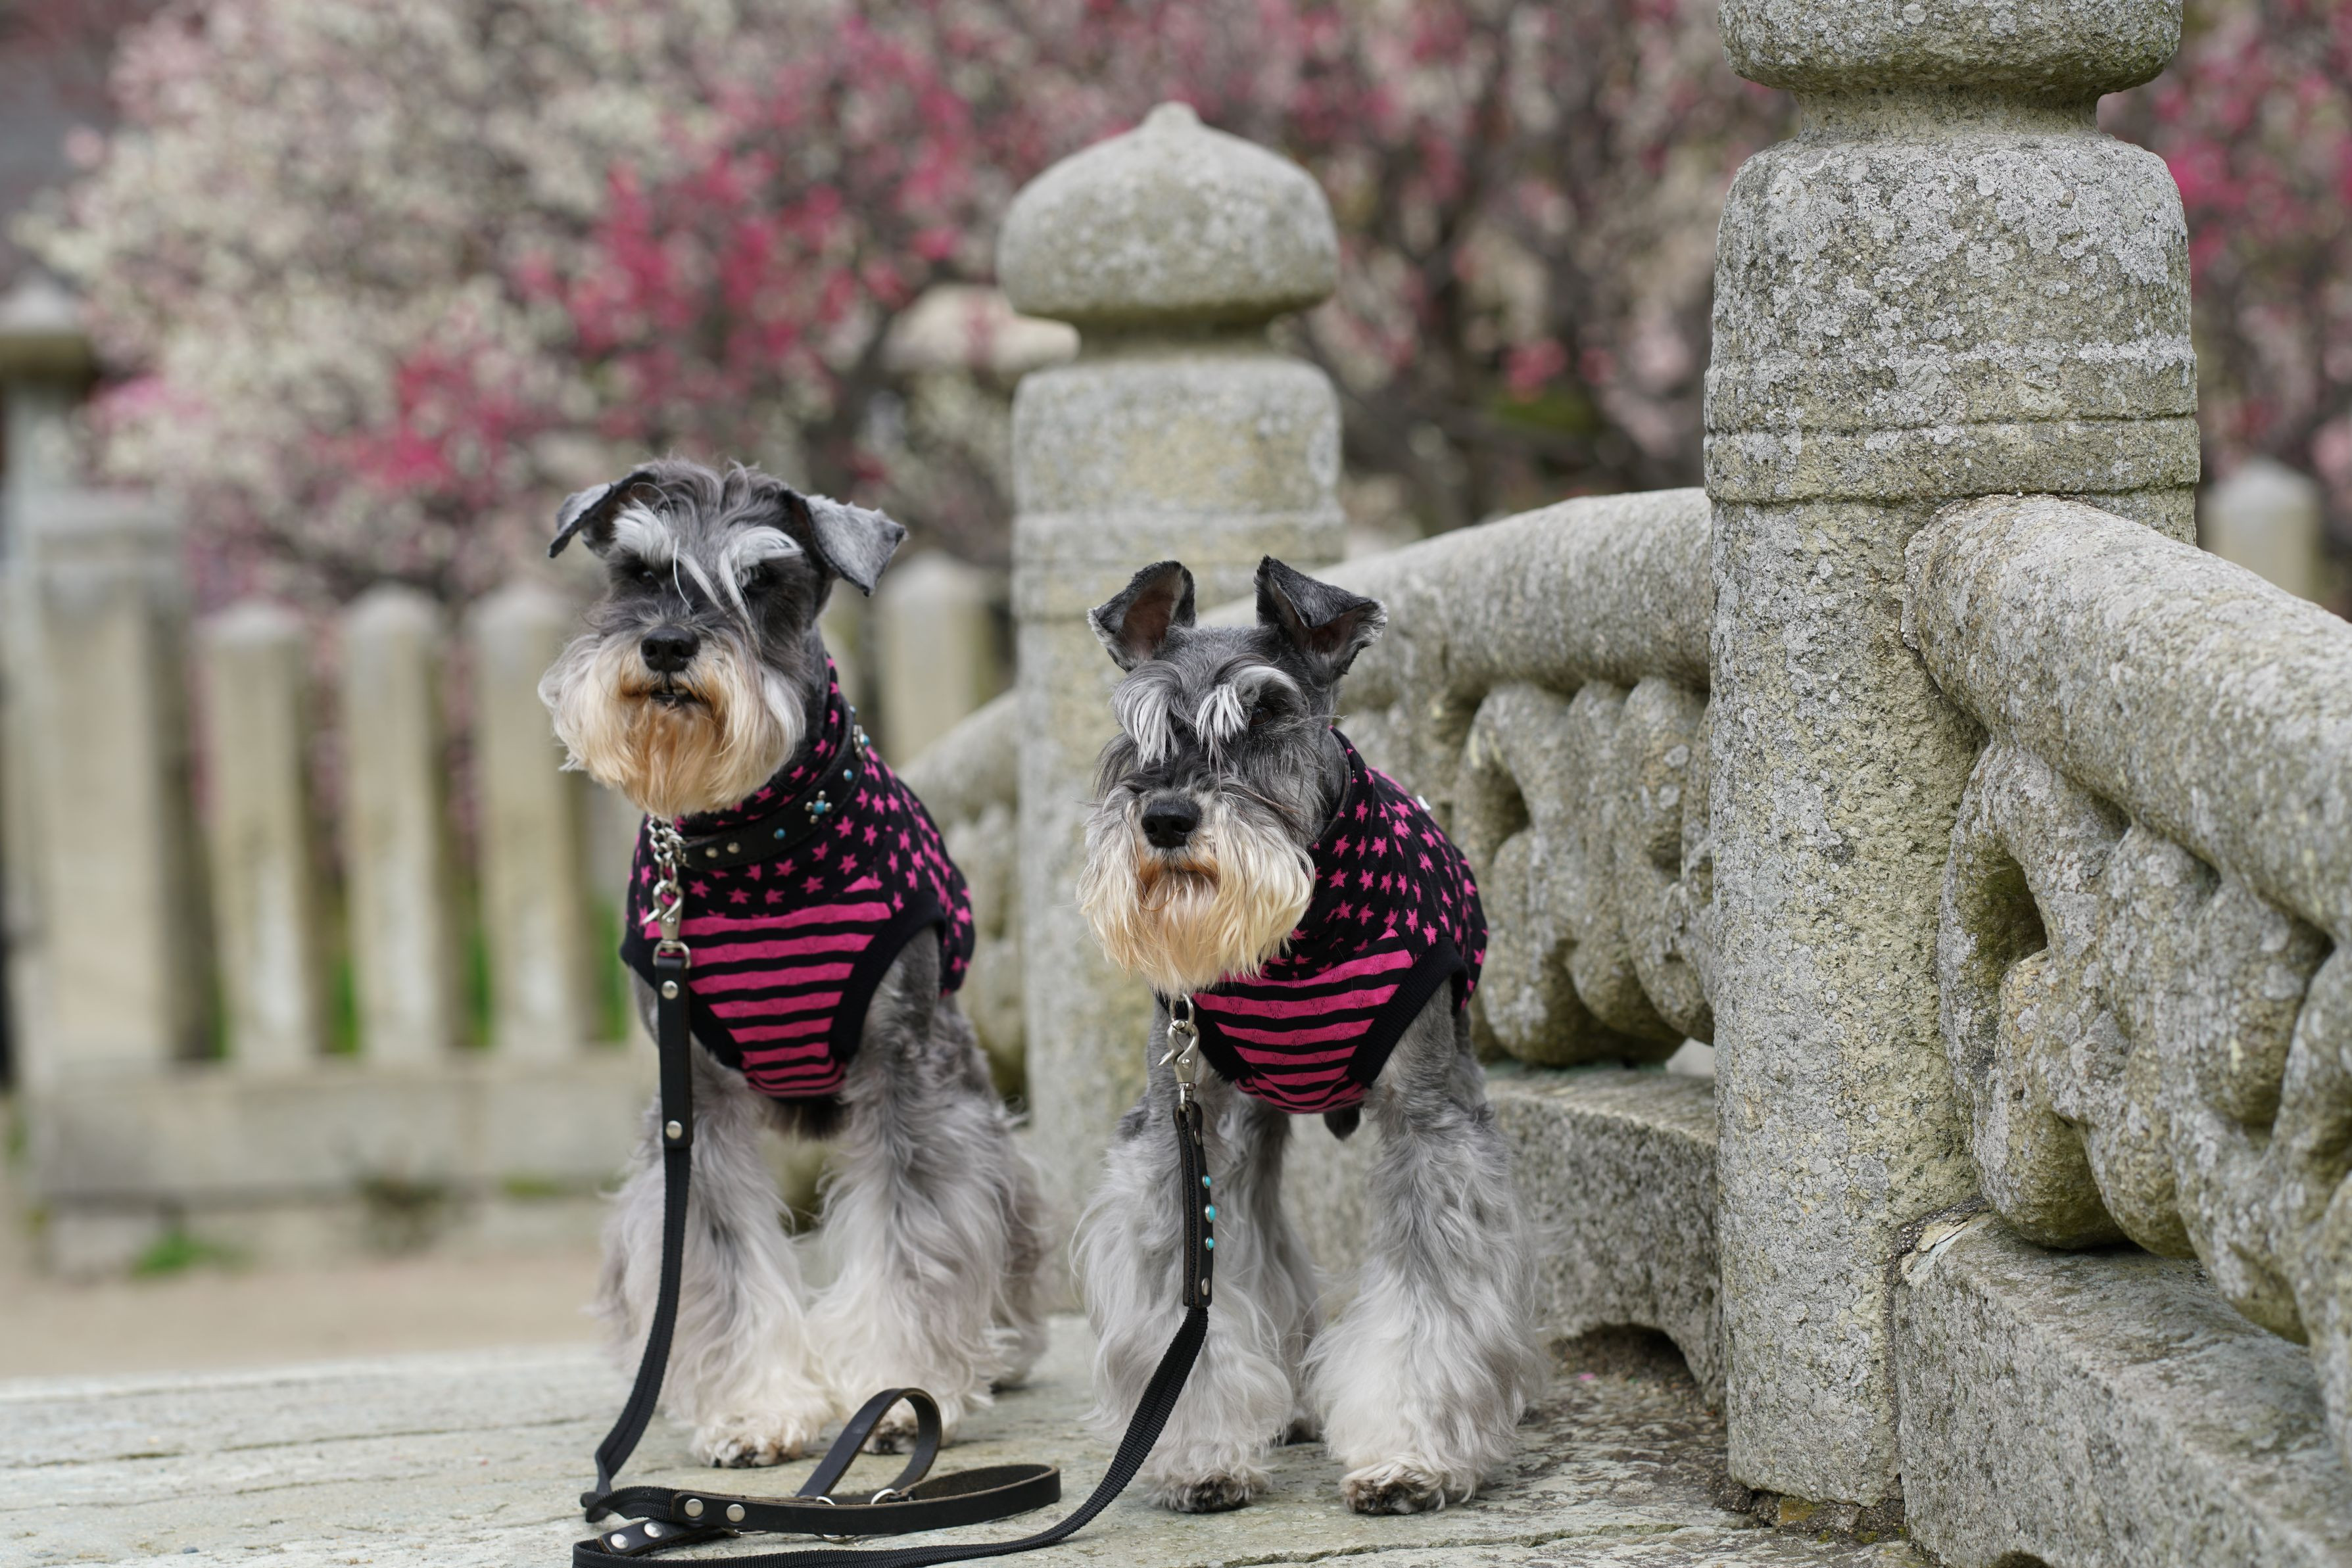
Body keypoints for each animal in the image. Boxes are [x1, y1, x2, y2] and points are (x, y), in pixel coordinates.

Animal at [539, 458, 1046, 1466]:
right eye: (637, 571)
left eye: (764, 581)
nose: (666, 647)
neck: (751, 842)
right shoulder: (694, 1101)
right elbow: (719, 1251)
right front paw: (757, 1411)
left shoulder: (906, 1078)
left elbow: (909, 1234)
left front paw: (898, 1397)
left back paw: (1001, 1347)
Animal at [1072, 556, 1543, 1515]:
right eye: (1144, 729)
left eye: (1265, 717)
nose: (1166, 818)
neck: (1300, 939)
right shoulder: (1184, 1121)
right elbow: (1186, 1286)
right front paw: (1199, 1453)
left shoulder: (1430, 1121)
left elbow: (1429, 1295)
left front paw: (1410, 1457)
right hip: (1245, 1126)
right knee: (1253, 1247)